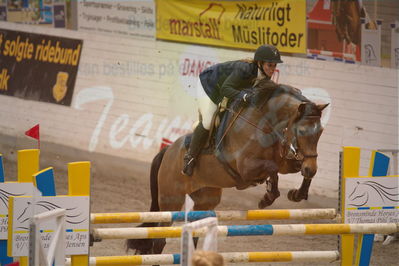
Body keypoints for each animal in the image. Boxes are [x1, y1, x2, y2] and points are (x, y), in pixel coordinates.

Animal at [126, 79, 330, 258]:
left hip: (205, 201)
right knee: (159, 239)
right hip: (170, 200)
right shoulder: (246, 167)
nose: (311, 168)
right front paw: (267, 197)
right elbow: (271, 169)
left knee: (194, 235)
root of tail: (167, 150)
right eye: (302, 131)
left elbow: (294, 168)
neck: (266, 123)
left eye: (320, 131)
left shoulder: (286, 161)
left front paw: (297, 193)